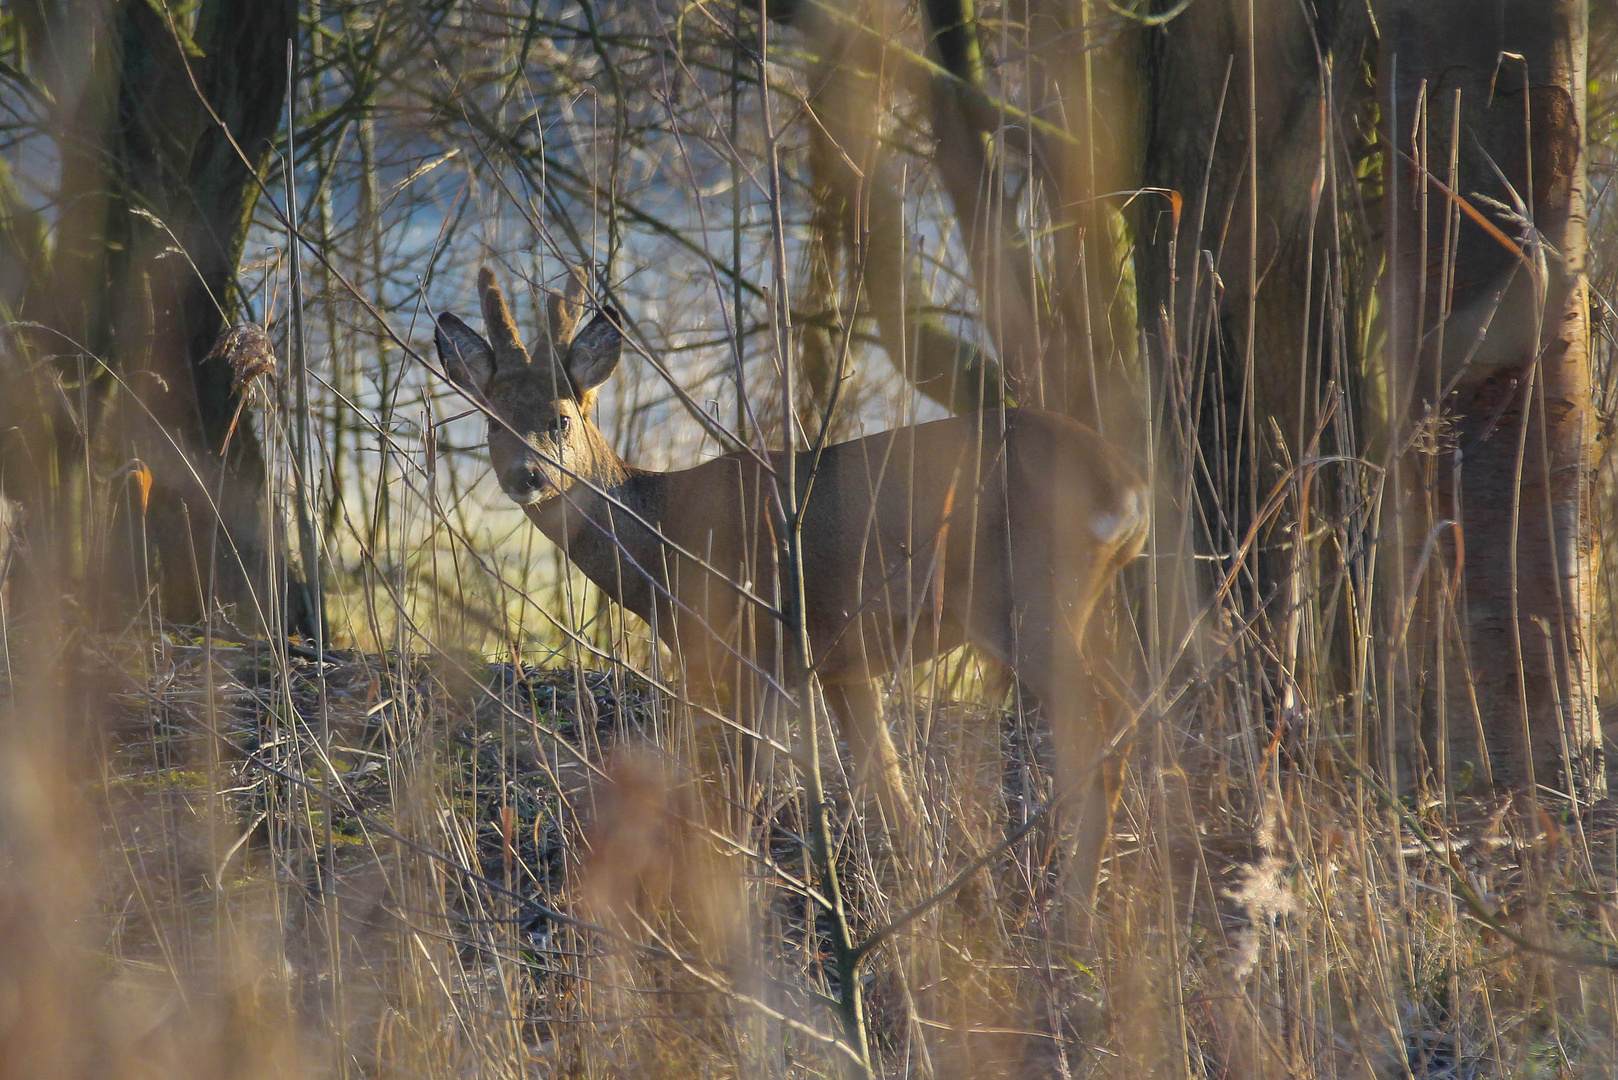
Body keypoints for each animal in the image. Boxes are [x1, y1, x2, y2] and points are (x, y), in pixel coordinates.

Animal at [436, 265, 1152, 919]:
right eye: (492, 424)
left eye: (560, 419)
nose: (526, 477)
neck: (665, 536)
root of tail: (1128, 489)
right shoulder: (844, 666)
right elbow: (891, 787)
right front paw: (935, 910)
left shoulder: (757, 646)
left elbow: (741, 793)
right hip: (1075, 601)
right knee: (1120, 708)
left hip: (1033, 598)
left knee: (1104, 718)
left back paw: (1074, 908)